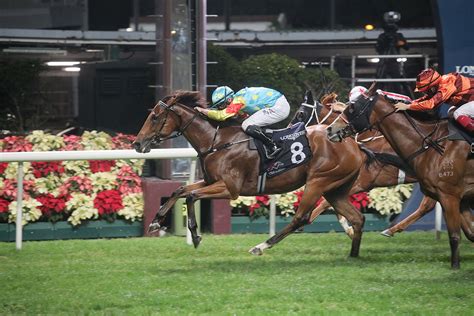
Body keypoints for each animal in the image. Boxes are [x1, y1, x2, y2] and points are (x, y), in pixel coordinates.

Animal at [134, 90, 366, 256]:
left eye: (154, 117)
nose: (137, 143)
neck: (216, 141)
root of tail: (354, 146)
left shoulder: (229, 188)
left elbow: (190, 195)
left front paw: (195, 234)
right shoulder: (210, 181)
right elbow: (181, 190)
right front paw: (156, 222)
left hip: (318, 181)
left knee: (301, 218)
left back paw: (260, 246)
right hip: (335, 189)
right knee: (357, 218)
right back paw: (353, 254)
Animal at [328, 82, 474, 268]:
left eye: (353, 107)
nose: (330, 129)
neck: (431, 145)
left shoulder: (450, 195)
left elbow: (455, 235)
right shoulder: (459, 198)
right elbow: (470, 232)